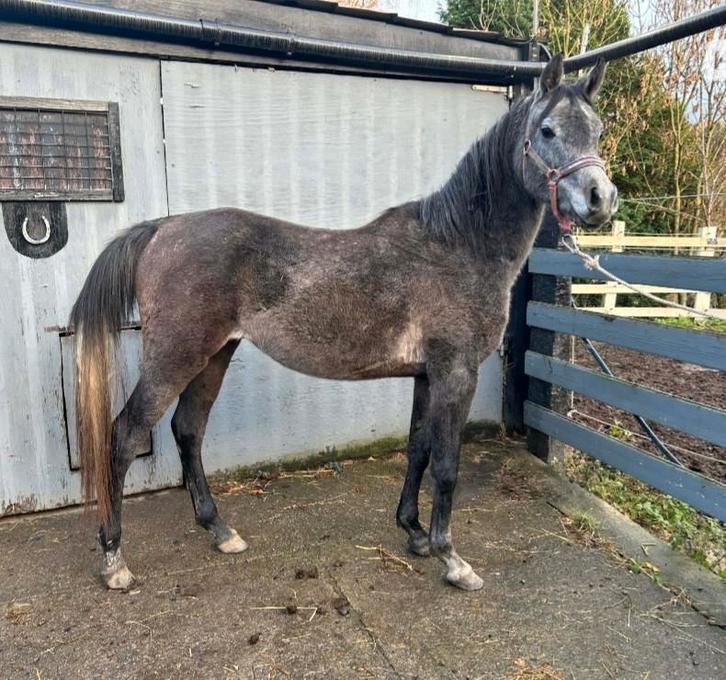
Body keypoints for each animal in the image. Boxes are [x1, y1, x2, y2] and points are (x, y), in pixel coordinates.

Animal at [70, 54, 617, 592]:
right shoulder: (456, 373)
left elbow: (417, 450)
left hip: (214, 354)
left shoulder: (426, 376)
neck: (457, 245)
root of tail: (162, 228)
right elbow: (446, 466)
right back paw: (115, 560)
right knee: (124, 436)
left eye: (598, 130)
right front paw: (452, 559)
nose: (601, 198)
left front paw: (414, 533)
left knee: (188, 430)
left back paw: (220, 531)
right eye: (547, 130)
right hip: (176, 356)